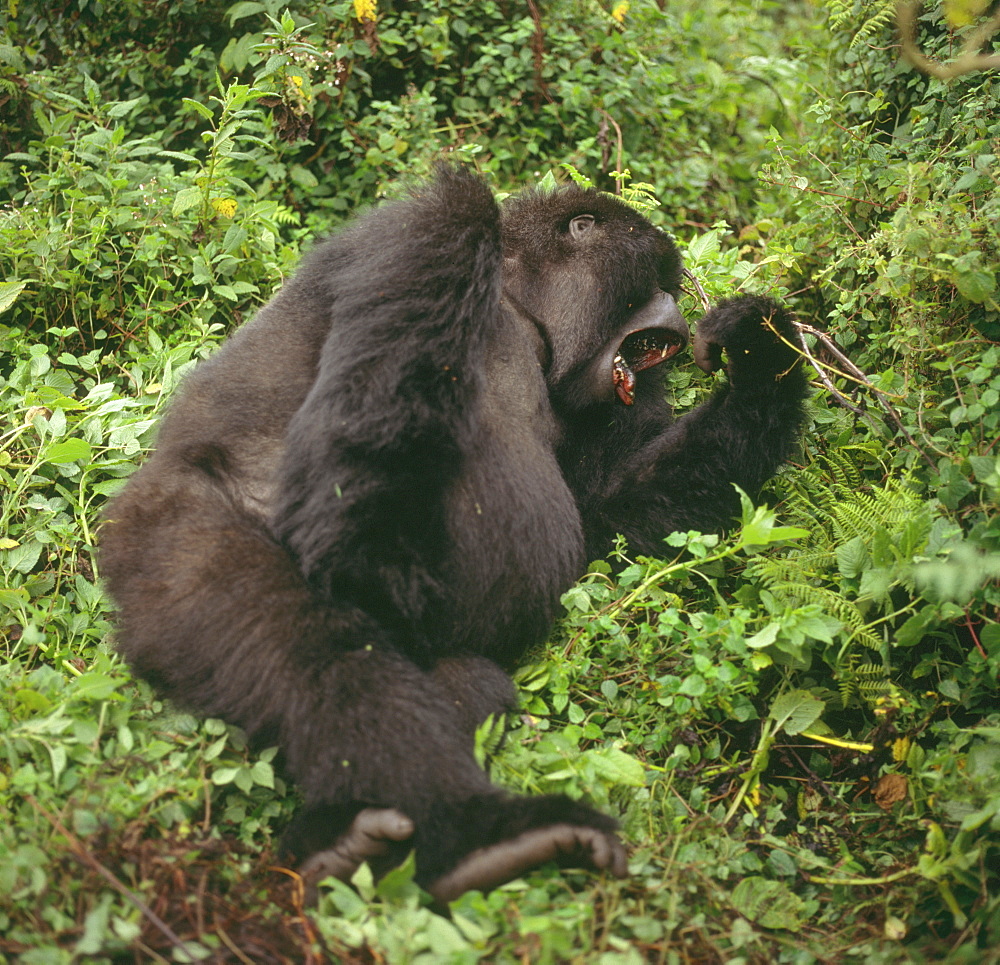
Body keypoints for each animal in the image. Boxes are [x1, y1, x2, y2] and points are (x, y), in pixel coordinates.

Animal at [99, 164, 804, 896]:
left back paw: (343, 836)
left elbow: (612, 510)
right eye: (656, 280)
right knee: (305, 643)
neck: (520, 303)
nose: (673, 313)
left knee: (466, 680)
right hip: (164, 539)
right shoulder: (435, 230)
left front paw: (761, 358)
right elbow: (366, 458)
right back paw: (476, 832)